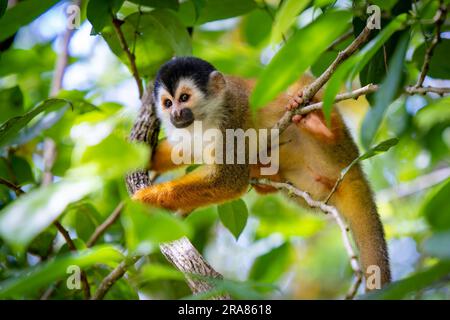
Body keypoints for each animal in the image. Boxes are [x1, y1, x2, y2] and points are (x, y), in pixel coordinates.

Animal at [134, 57, 390, 290]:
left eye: (184, 98)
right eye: (168, 103)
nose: (176, 114)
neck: (205, 117)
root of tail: (353, 167)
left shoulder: (232, 119)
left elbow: (229, 181)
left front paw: (145, 198)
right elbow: (184, 150)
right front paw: (140, 155)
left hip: (337, 152)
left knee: (303, 84)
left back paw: (320, 127)